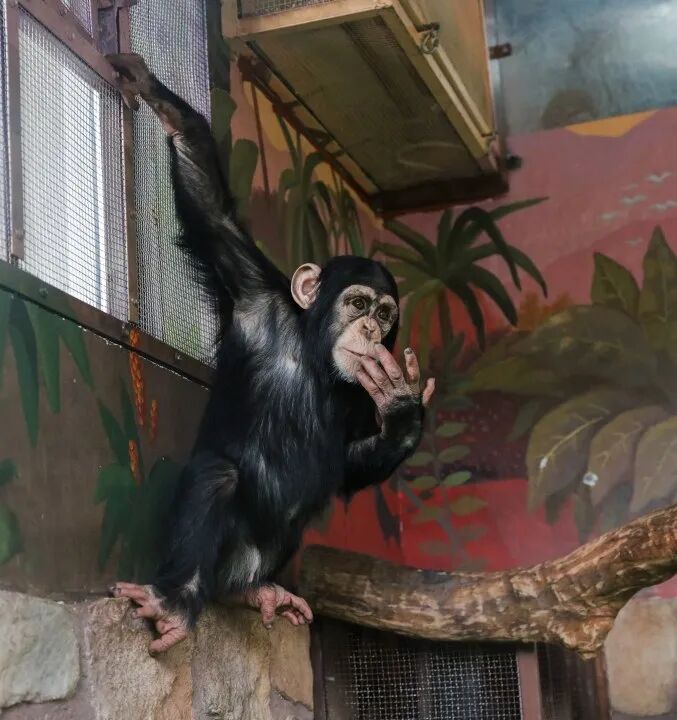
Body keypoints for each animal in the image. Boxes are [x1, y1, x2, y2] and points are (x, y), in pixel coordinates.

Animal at [105, 53, 435, 654]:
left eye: (385, 315)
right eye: (357, 303)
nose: (371, 330)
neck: (312, 355)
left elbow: (346, 465)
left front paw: (402, 412)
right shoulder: (255, 293)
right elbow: (212, 213)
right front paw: (159, 97)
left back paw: (256, 592)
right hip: (222, 556)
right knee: (217, 478)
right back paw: (176, 600)